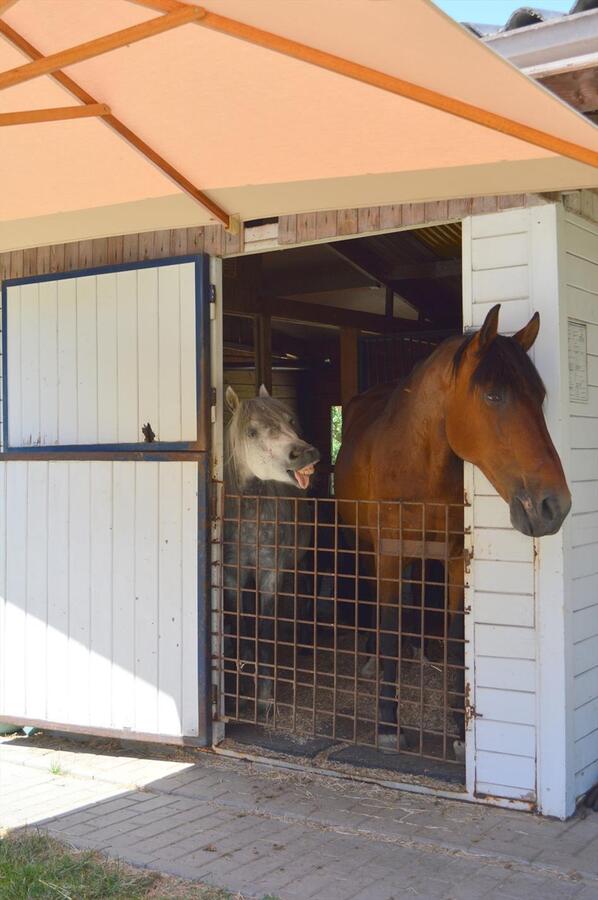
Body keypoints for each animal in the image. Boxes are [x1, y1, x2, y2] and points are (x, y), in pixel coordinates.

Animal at [223, 384, 322, 708]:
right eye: (252, 432)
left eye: (290, 421)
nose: (305, 454)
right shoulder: (233, 575)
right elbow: (240, 624)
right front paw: (239, 690)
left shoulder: (271, 572)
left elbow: (265, 629)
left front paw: (265, 698)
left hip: (301, 564)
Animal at [336, 306, 576, 756]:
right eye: (493, 395)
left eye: (540, 397)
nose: (554, 506)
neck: (414, 465)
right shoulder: (388, 554)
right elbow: (389, 630)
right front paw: (389, 726)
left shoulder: (451, 557)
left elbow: (455, 638)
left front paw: (460, 735)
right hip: (366, 548)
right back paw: (371, 657)